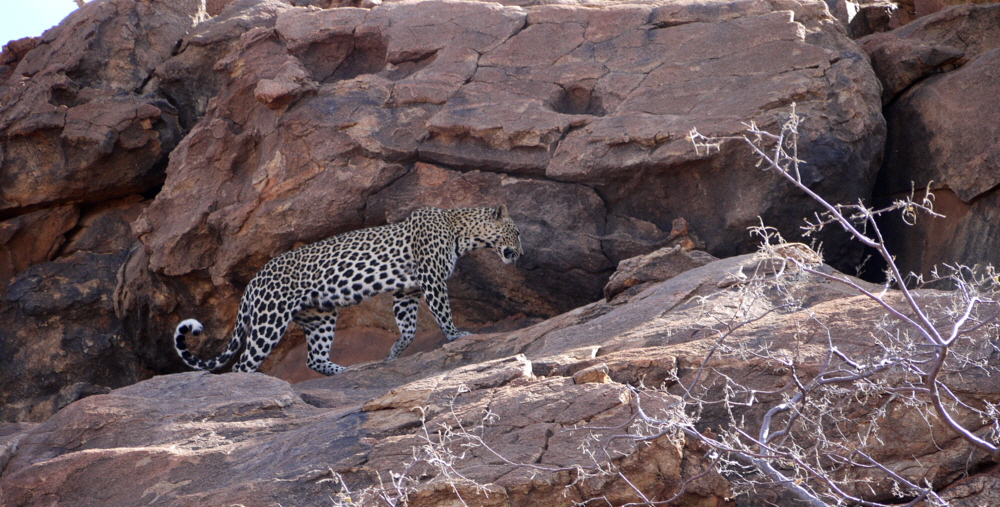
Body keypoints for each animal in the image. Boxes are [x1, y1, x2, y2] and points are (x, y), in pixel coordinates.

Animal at [174, 204, 524, 376]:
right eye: (517, 232)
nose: (522, 254)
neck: (462, 231)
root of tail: (252, 282)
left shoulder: (407, 291)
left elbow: (408, 327)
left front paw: (393, 353)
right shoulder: (432, 279)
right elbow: (442, 311)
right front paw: (456, 335)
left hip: (320, 317)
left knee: (314, 359)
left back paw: (343, 370)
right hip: (269, 319)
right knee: (243, 363)